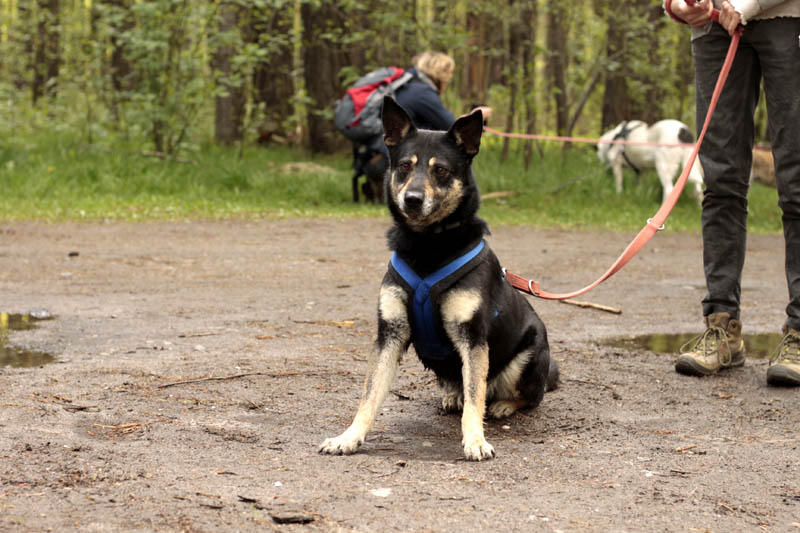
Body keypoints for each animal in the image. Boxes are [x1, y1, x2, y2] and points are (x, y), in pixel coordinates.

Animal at [319, 97, 559, 461]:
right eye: (405, 166)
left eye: (441, 170)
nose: (412, 199)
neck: (427, 246)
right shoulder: (389, 335)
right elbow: (369, 396)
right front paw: (349, 437)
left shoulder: (473, 339)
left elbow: (475, 398)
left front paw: (475, 440)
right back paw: (454, 396)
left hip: (528, 354)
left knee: (523, 396)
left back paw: (503, 404)